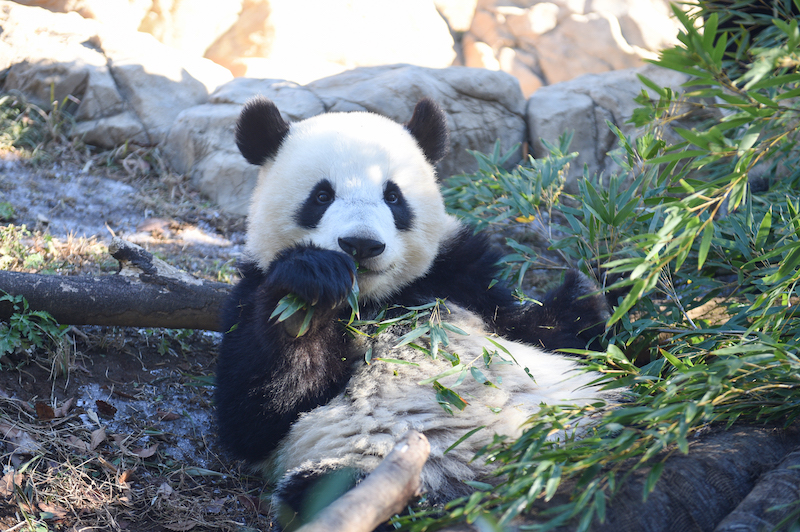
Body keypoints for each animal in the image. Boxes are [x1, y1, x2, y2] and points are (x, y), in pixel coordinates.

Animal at [214, 96, 612, 528]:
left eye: (393, 197)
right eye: (321, 197)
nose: (361, 244)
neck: (375, 301)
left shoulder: (459, 275)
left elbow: (538, 331)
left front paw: (584, 294)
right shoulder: (249, 293)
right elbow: (257, 416)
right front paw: (308, 288)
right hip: (372, 463)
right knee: (325, 488)